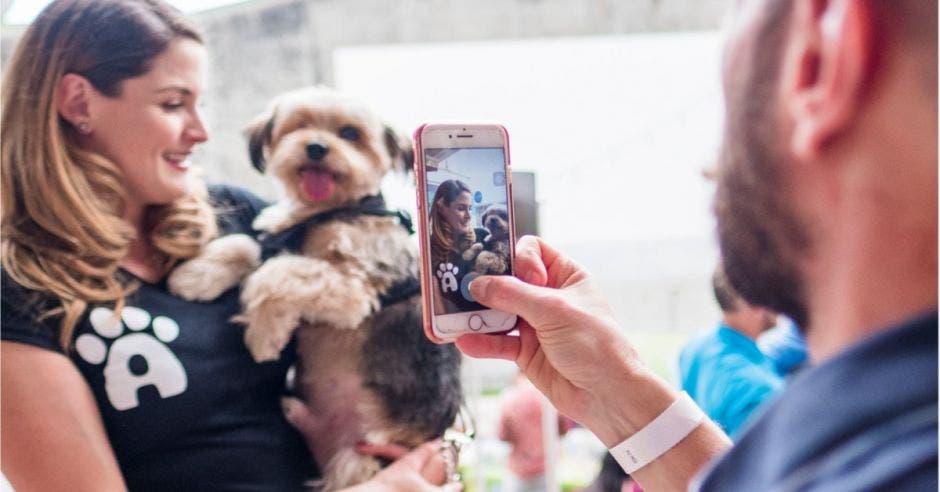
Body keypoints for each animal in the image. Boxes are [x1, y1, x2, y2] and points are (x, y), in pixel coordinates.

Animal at [171, 86, 464, 490]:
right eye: (299, 125)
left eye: (350, 134)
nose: (315, 147)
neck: (320, 214)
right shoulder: (276, 240)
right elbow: (250, 247)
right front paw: (195, 275)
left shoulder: (355, 287)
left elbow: (276, 272)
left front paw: (263, 335)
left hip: (360, 458)